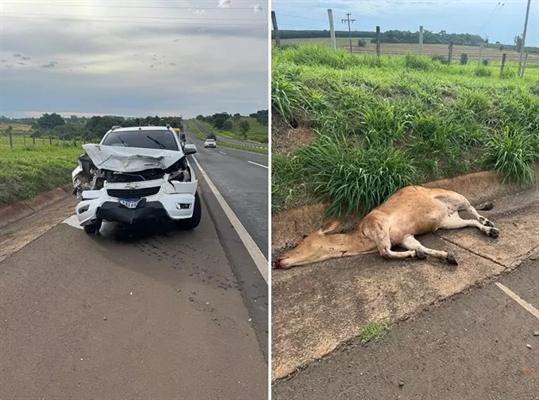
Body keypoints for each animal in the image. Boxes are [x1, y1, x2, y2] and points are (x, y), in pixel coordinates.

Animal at [272, 186, 500, 270]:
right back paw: (489, 229)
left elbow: (384, 252)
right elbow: (418, 246)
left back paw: (489, 221)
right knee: (469, 221)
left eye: (303, 238)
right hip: (447, 221)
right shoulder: (405, 236)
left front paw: (415, 255)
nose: (278, 260)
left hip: (452, 195)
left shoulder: (378, 224)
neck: (364, 238)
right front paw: (446, 256)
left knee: (470, 206)